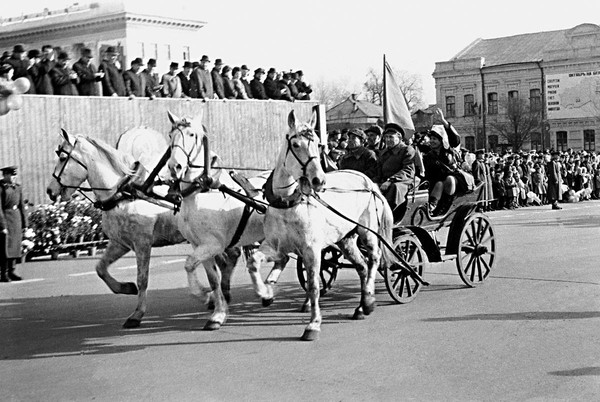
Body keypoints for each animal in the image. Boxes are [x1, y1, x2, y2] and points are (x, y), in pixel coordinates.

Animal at [46, 130, 237, 328]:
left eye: (62, 157)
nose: (50, 191)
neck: (124, 194)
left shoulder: (142, 243)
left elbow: (142, 279)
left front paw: (137, 313)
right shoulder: (120, 243)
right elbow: (100, 268)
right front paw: (126, 287)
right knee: (229, 259)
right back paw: (222, 295)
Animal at [166, 112, 274, 330]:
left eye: (191, 134)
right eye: (171, 135)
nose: (175, 166)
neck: (202, 191)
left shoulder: (213, 244)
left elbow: (189, 264)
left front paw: (205, 296)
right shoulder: (199, 245)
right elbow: (213, 279)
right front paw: (217, 311)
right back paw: (267, 292)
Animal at [246, 110, 396, 342]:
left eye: (317, 143)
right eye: (295, 144)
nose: (319, 180)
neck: (288, 203)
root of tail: (368, 182)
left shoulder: (312, 250)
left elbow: (314, 286)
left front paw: (313, 324)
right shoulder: (275, 246)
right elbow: (254, 261)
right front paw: (265, 293)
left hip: (368, 233)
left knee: (373, 260)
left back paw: (369, 301)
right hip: (346, 239)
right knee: (361, 266)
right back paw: (360, 307)